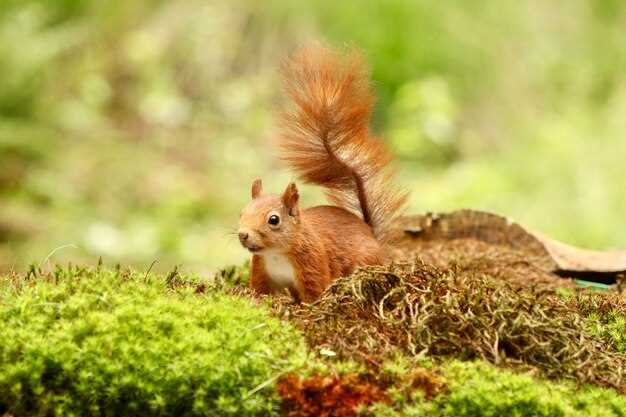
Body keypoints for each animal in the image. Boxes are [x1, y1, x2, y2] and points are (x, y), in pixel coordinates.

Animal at [235, 44, 404, 300]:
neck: (276, 253)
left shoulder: (312, 265)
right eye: (242, 212)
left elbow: (314, 297)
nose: (243, 234)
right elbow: (260, 294)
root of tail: (371, 233)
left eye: (274, 219)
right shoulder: (261, 272)